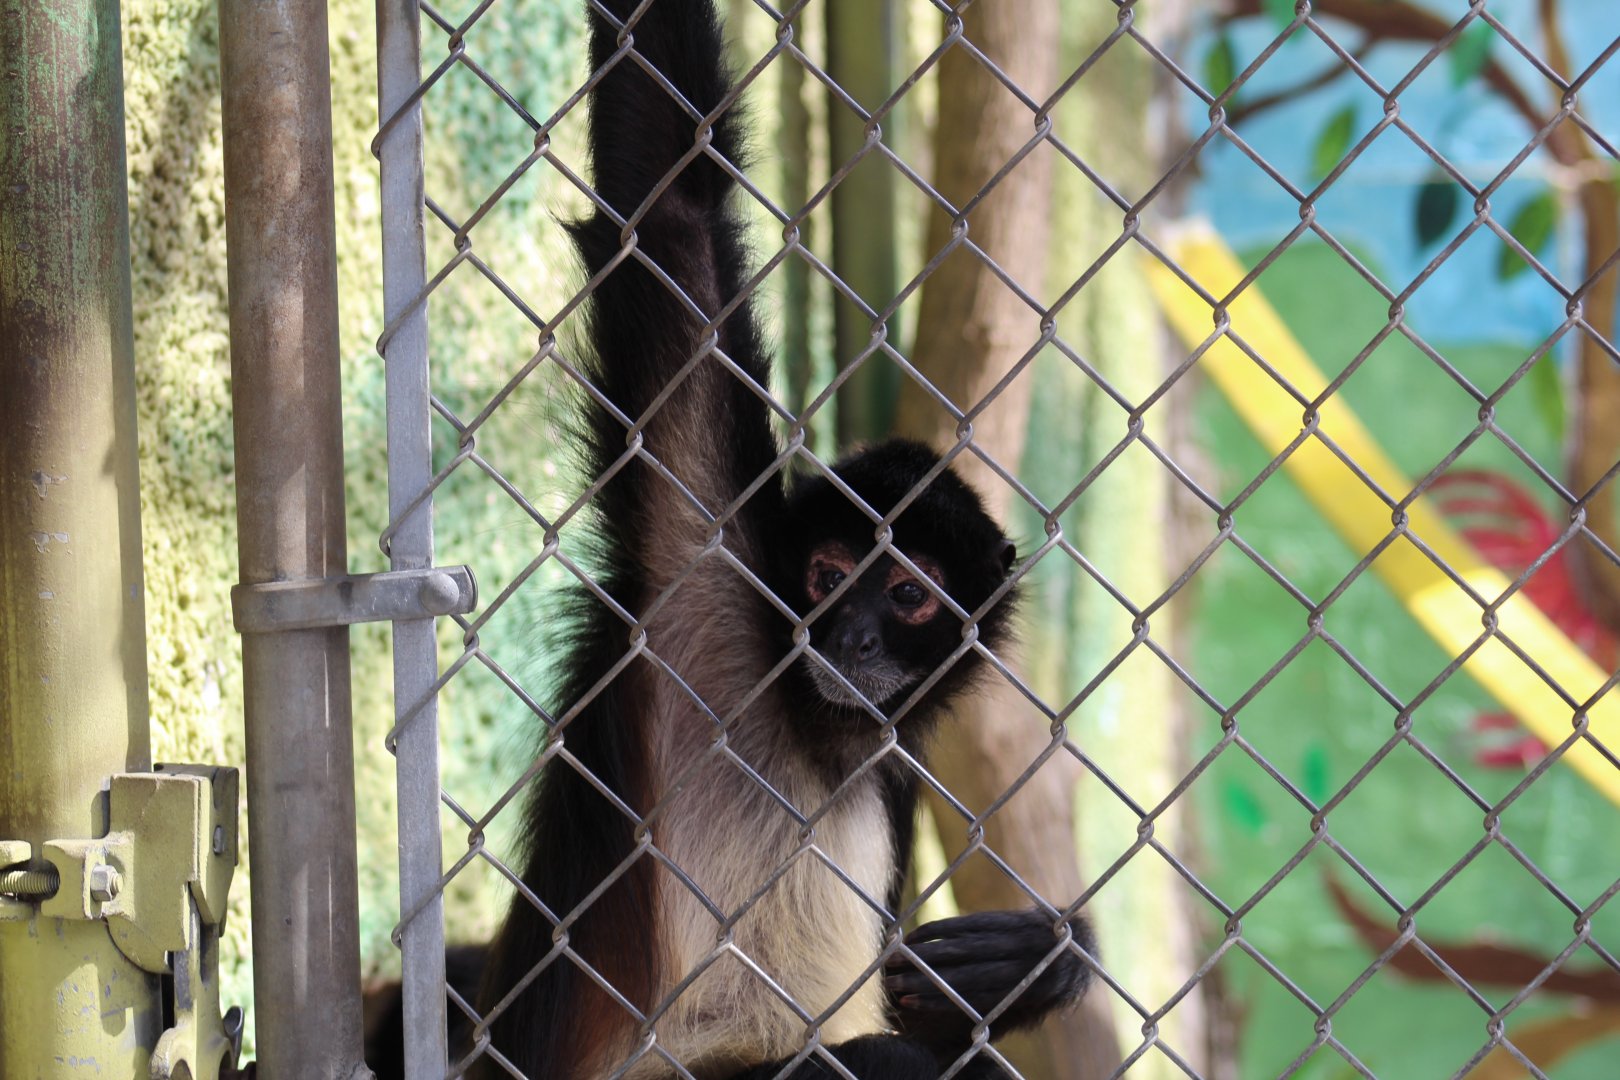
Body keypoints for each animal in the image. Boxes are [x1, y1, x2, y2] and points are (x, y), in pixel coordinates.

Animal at [469, 0, 1098, 1077]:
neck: (818, 735)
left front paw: (1036, 967)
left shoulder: (895, 768)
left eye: (908, 593)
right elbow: (671, 203)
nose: (849, 637)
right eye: (827, 574)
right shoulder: (703, 584)